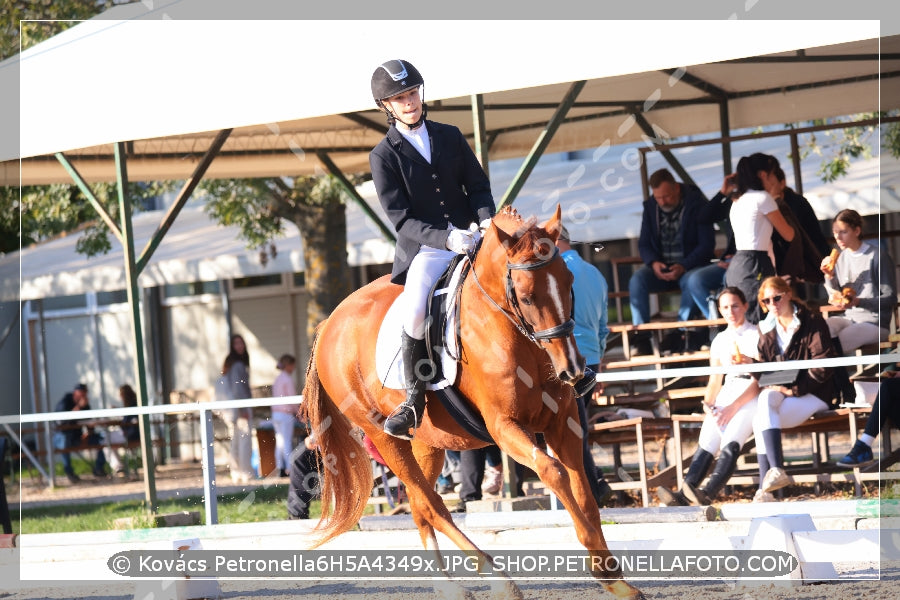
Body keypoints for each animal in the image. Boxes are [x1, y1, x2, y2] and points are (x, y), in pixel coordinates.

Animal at [306, 204, 644, 596]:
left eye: (569, 283)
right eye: (526, 297)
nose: (573, 370)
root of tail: (329, 323)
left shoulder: (564, 423)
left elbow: (584, 492)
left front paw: (614, 578)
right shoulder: (503, 427)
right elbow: (554, 473)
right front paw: (604, 571)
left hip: (428, 441)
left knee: (420, 504)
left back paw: (449, 587)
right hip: (383, 437)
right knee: (433, 504)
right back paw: (495, 578)